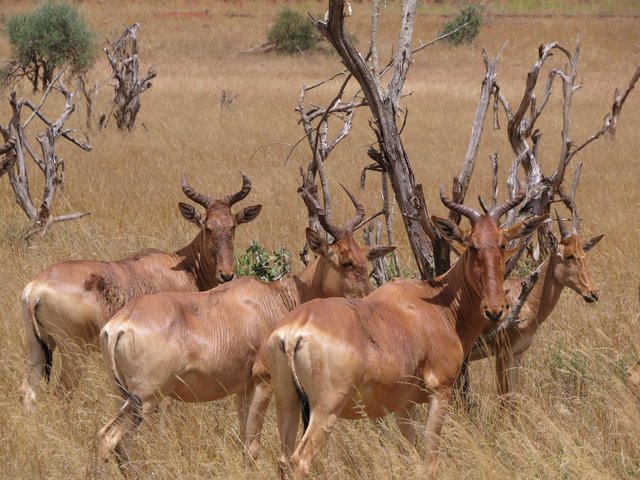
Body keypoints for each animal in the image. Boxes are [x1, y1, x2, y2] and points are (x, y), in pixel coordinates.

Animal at [20, 173, 260, 408]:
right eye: (207, 226)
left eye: (233, 226)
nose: (226, 274)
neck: (181, 267)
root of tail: (35, 289)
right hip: (74, 351)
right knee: (61, 393)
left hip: (38, 347)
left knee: (28, 391)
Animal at [96, 188, 396, 472]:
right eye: (345, 262)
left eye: (365, 259)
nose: (368, 302)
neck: (275, 297)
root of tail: (117, 325)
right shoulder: (263, 382)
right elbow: (251, 449)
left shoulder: (242, 388)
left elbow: (243, 443)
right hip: (145, 398)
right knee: (108, 437)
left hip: (125, 395)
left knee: (119, 444)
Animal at [268, 183, 548, 476]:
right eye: (471, 245)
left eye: (502, 243)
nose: (495, 309)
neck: (432, 305)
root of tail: (295, 331)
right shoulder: (440, 391)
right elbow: (429, 460)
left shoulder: (405, 406)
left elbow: (408, 457)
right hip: (326, 409)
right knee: (299, 461)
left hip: (286, 403)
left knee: (283, 460)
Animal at [462, 212, 604, 404]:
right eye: (568, 255)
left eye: (583, 254)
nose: (593, 293)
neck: (522, 298)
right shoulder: (502, 352)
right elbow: (503, 398)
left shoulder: (517, 353)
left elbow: (512, 398)